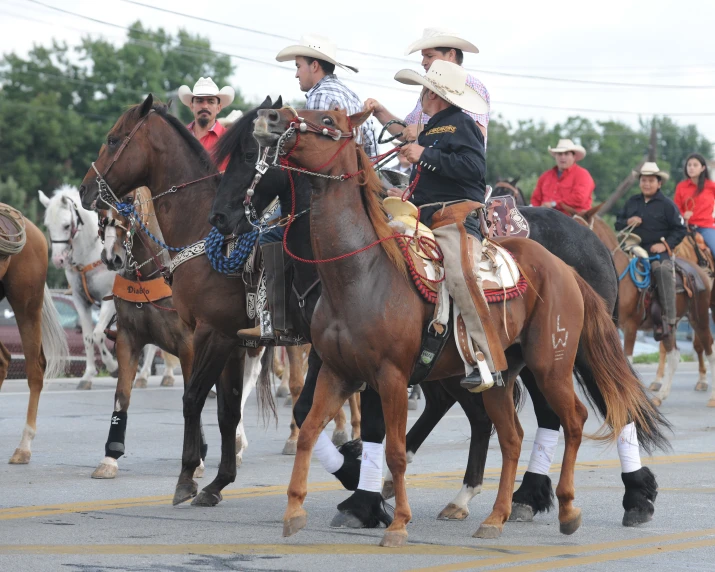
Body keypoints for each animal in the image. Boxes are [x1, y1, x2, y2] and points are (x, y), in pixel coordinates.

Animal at [38, 187, 117, 388]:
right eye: (48, 226)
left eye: (67, 225)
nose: (58, 260)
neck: (90, 255)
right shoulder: (81, 301)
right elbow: (88, 337)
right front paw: (88, 375)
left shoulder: (110, 299)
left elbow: (98, 334)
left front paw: (113, 367)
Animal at [77, 96, 274, 508]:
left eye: (113, 139)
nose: (85, 189)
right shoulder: (141, 337)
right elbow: (221, 408)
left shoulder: (203, 337)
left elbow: (193, 397)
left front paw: (190, 472)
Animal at [253, 106, 672, 544]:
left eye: (328, 120)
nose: (270, 117)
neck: (359, 271)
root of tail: (569, 266)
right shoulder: (337, 370)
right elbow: (308, 428)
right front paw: (298, 510)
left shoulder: (388, 376)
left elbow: (392, 447)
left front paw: (387, 516)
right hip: (502, 375)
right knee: (512, 433)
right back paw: (500, 512)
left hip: (554, 363)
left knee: (581, 415)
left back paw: (586, 505)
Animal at [572, 206, 715, 406]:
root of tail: (700, 271)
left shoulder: (631, 327)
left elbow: (627, 360)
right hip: (670, 327)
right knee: (674, 355)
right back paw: (661, 395)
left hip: (700, 318)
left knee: (708, 350)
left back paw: (711, 396)